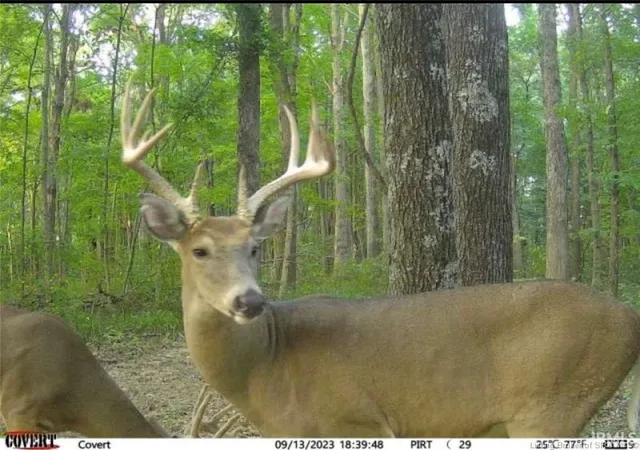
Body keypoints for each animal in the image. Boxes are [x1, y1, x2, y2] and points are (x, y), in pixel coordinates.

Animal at [120, 82, 640, 438]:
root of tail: (629, 316)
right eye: (199, 250)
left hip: (552, 406)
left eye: (254, 247)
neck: (265, 369)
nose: (250, 301)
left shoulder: (355, 419)